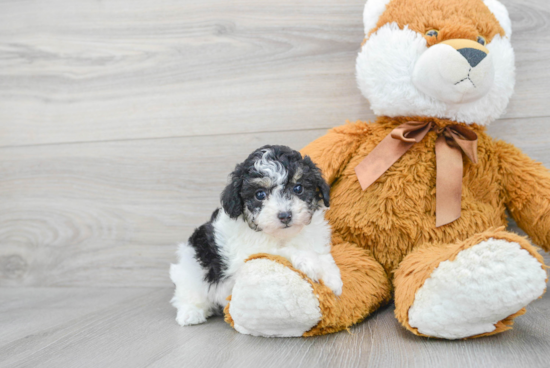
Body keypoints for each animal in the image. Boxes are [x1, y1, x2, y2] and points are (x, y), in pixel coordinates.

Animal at [170, 145, 342, 326]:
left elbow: (323, 255)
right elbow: (278, 251)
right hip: (192, 267)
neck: (283, 235)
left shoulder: (315, 238)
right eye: (259, 194)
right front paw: (308, 262)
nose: (285, 216)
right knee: (188, 293)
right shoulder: (246, 254)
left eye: (298, 188)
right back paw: (190, 313)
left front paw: (333, 279)